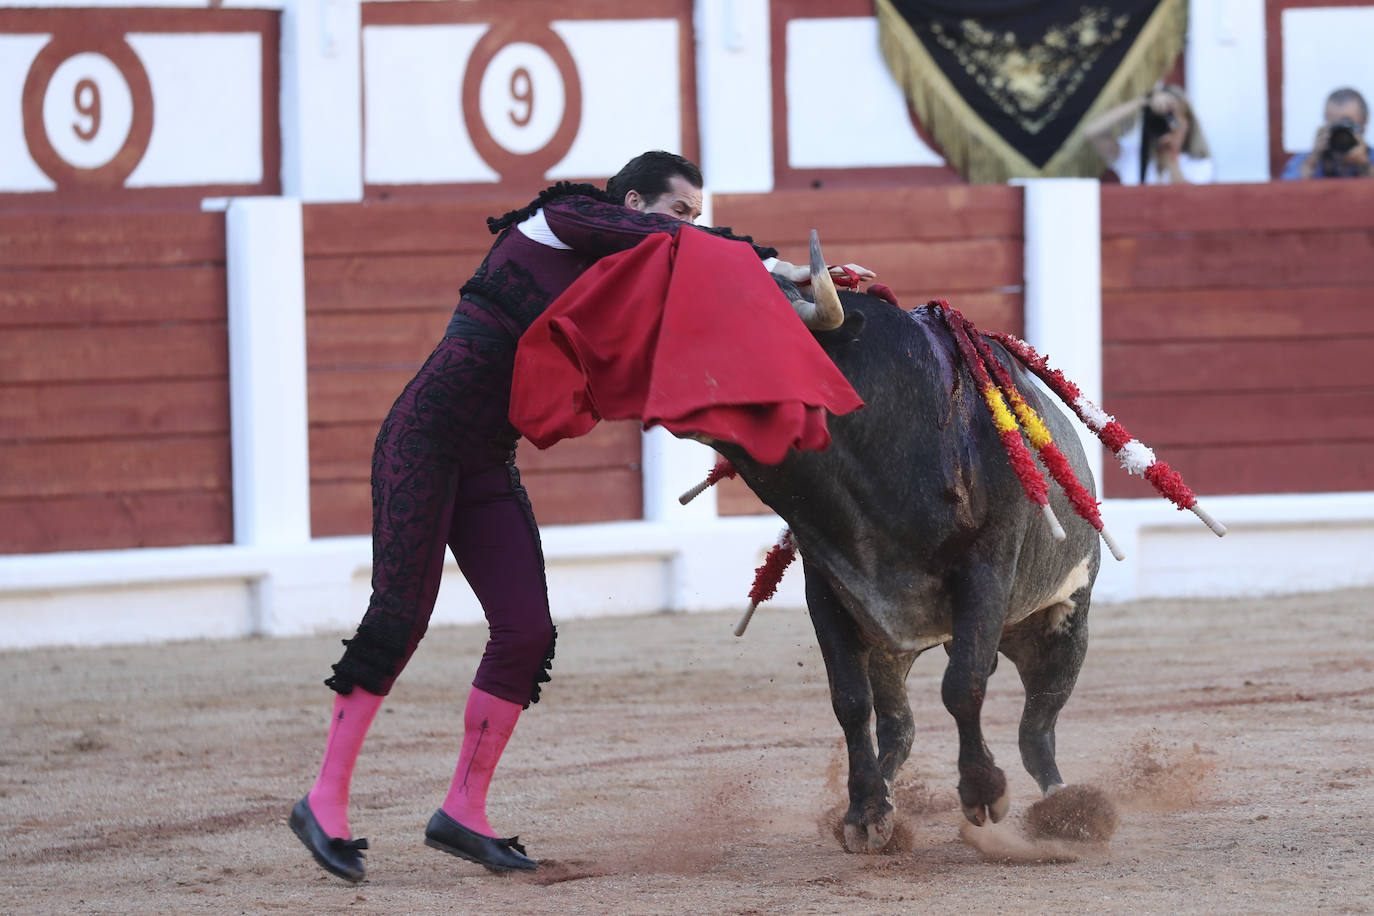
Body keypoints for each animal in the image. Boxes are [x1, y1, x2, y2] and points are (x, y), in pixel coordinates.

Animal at [714, 292, 1099, 851]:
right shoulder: (826, 586)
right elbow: (850, 701)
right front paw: (865, 813)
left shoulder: (988, 565)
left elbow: (962, 685)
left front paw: (983, 792)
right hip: (889, 650)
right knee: (900, 725)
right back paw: (886, 801)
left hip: (1063, 629)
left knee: (1036, 732)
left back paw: (1068, 812)